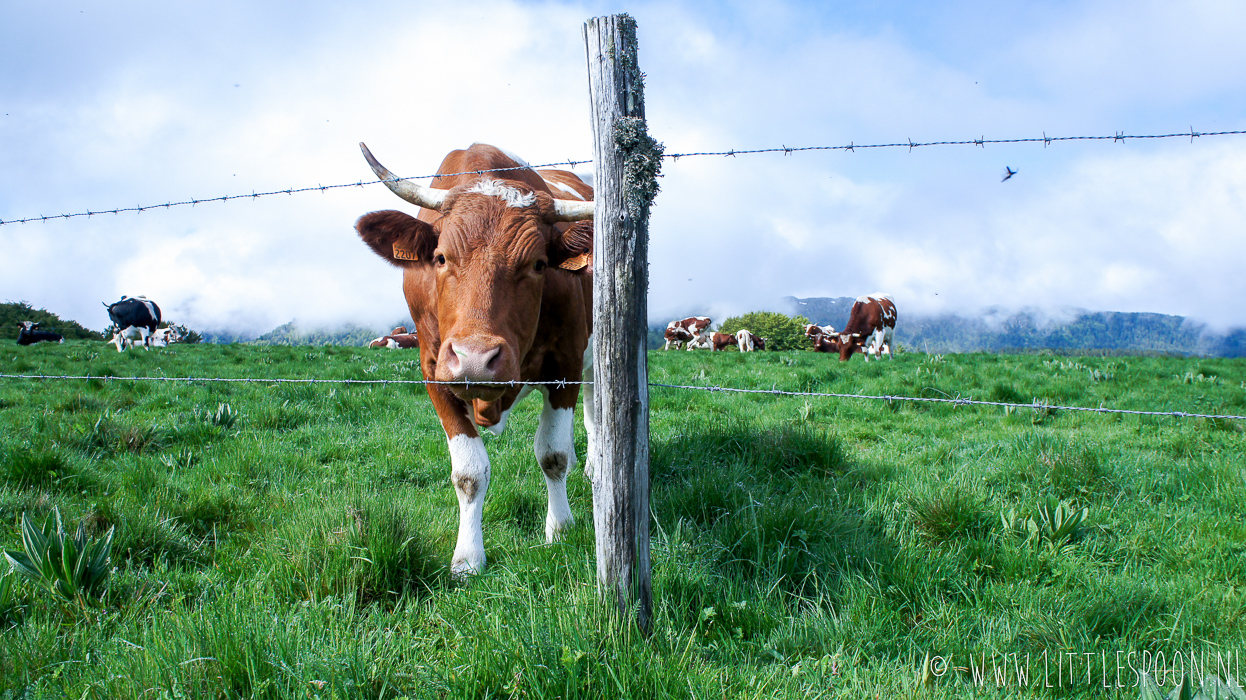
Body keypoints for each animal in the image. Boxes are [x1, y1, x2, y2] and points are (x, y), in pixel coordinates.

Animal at [356, 140, 598, 572]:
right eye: (440, 258)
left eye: (539, 264)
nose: (474, 359)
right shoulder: (434, 371)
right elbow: (469, 472)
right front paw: (467, 557)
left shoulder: (565, 362)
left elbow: (550, 455)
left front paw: (560, 530)